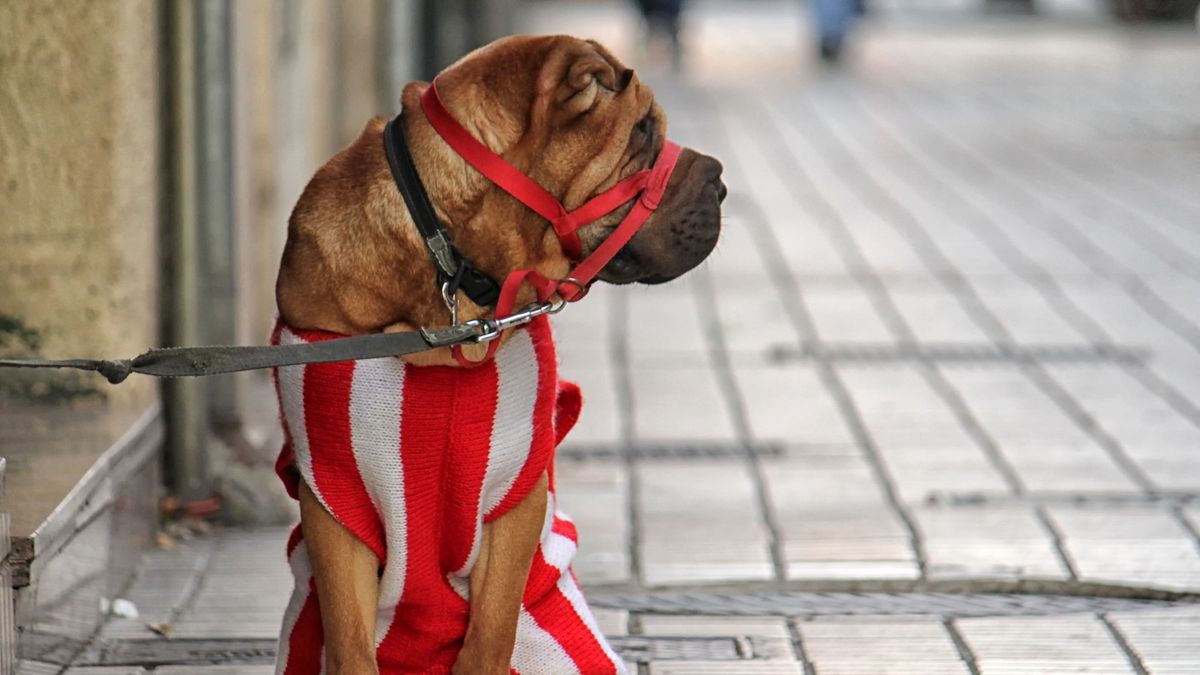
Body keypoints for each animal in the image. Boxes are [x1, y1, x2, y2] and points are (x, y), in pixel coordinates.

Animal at [272, 36, 720, 672]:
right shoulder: (333, 504)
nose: (722, 182)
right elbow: (352, 641)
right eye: (642, 133)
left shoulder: (513, 492)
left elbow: (489, 632)